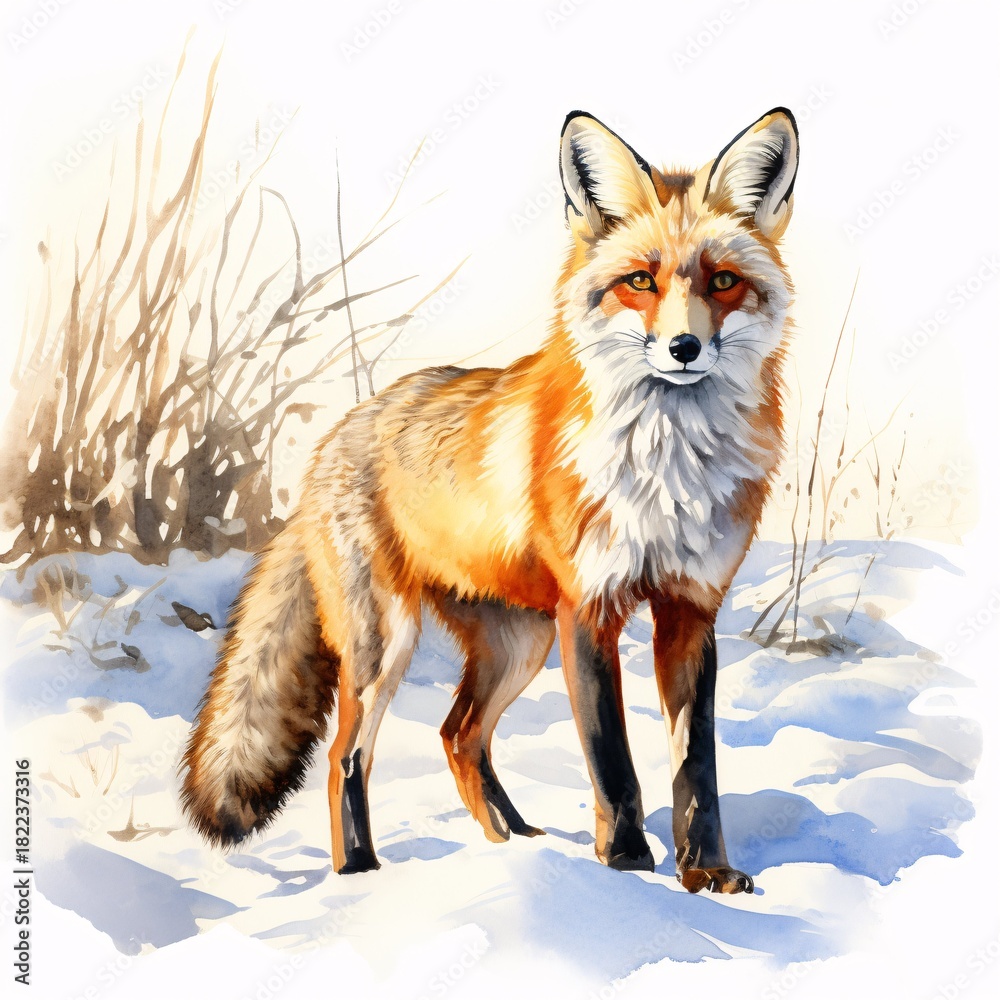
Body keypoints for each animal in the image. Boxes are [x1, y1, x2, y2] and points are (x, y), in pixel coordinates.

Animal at [180, 107, 799, 894]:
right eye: (639, 280)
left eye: (722, 281)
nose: (685, 347)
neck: (668, 471)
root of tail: (334, 440)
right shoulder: (587, 609)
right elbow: (614, 763)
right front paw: (626, 863)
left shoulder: (690, 610)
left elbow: (697, 768)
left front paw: (706, 874)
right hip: (388, 643)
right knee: (348, 755)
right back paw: (361, 872)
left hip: (518, 644)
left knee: (458, 734)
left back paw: (515, 842)